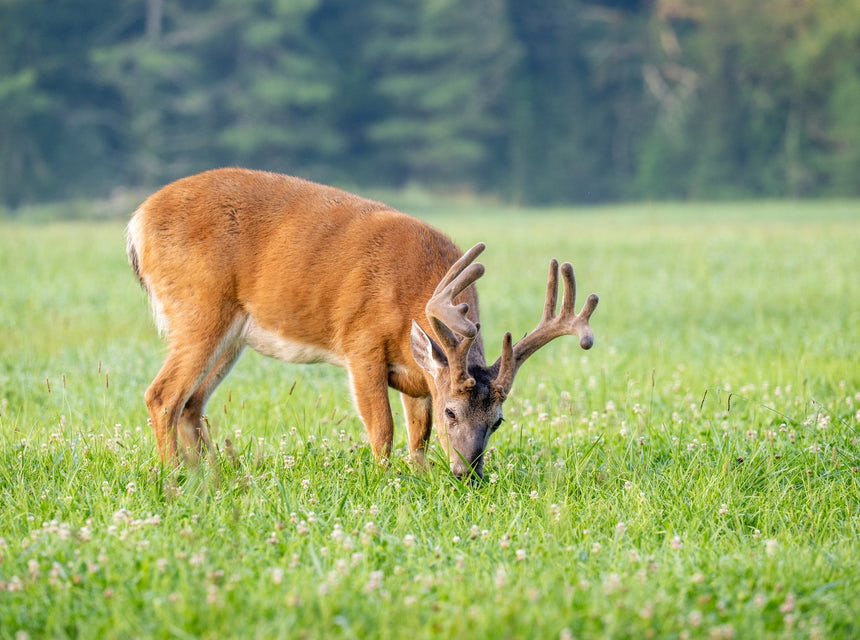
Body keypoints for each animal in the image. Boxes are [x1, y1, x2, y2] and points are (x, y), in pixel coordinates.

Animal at [126, 167, 598, 479]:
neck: (414, 296)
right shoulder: (361, 343)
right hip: (199, 307)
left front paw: (419, 475)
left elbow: (418, 435)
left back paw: (210, 472)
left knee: (192, 403)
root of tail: (136, 223)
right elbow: (382, 428)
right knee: (163, 395)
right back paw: (175, 476)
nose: (469, 473)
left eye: (498, 420)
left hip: (233, 335)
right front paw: (385, 480)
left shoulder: (418, 375)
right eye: (452, 410)